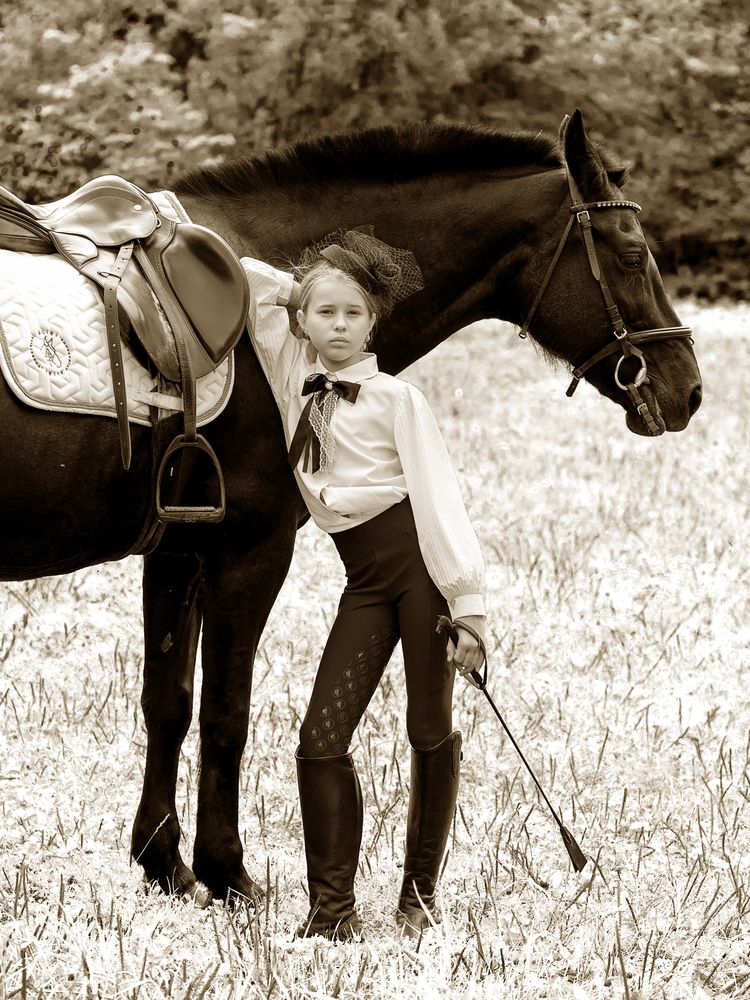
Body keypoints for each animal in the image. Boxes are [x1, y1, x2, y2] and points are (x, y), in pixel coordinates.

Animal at [0, 110, 701, 903]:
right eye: (632, 253)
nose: (688, 387)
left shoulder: (177, 552)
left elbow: (168, 704)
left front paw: (165, 863)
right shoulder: (248, 552)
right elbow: (226, 712)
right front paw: (228, 872)